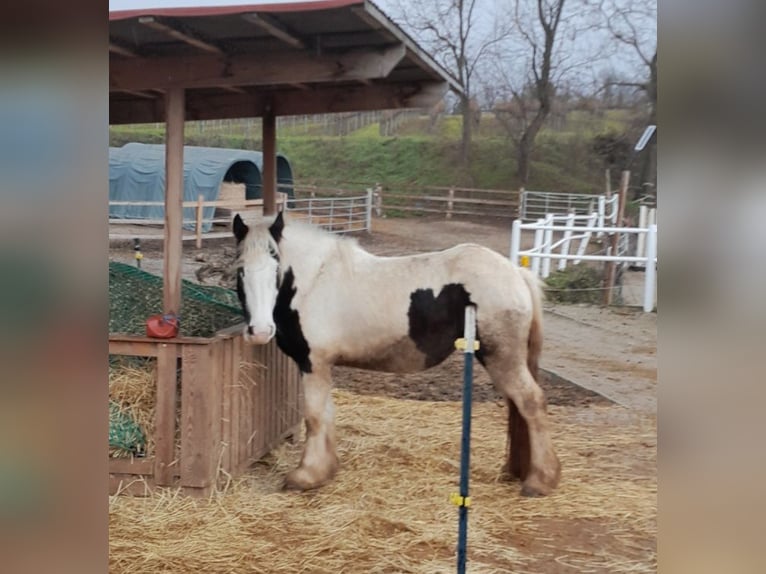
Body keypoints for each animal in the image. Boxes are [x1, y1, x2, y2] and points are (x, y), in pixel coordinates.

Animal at [231, 213, 560, 500]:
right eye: (241, 270)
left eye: (275, 268)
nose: (260, 331)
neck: (315, 280)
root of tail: (516, 273)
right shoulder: (322, 367)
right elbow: (326, 414)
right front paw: (325, 470)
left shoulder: (314, 364)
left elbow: (314, 417)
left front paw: (306, 475)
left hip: (502, 359)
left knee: (531, 403)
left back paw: (540, 480)